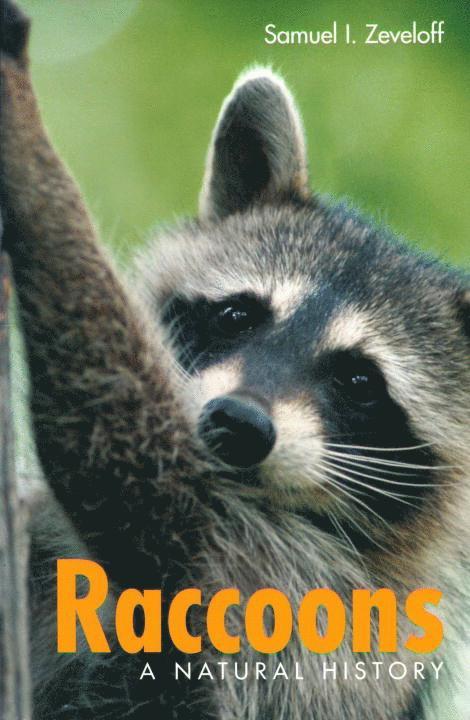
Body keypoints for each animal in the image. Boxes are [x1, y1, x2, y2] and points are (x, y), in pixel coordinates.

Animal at [1, 2, 469, 719]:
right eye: (236, 317)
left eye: (359, 380)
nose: (239, 423)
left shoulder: (283, 588)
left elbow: (121, 458)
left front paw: (27, 139)